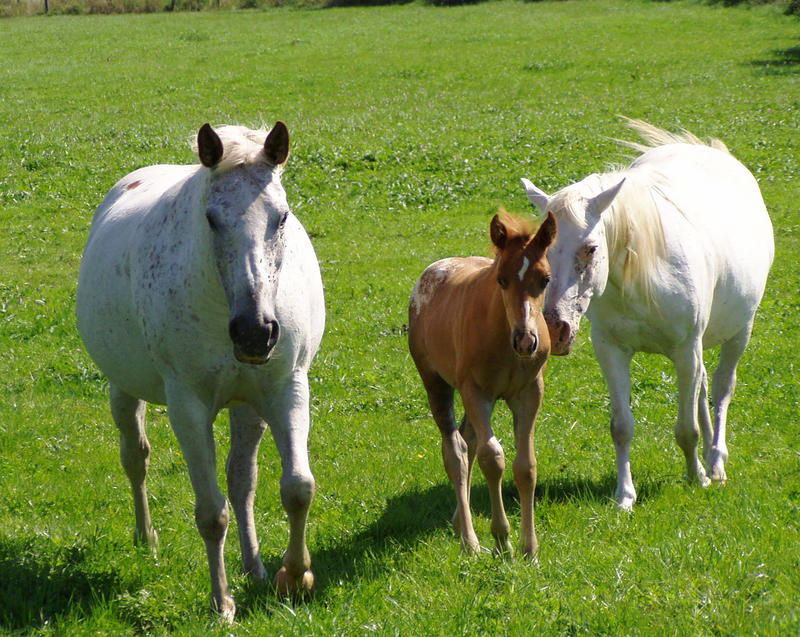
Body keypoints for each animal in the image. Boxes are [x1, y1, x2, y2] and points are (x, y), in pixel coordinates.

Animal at [76, 120, 324, 620]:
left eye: (282, 217)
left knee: (242, 480)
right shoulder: (188, 408)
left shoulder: (287, 389)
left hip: (248, 405)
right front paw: (221, 601)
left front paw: (294, 577)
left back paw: (254, 566)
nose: (255, 332)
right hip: (122, 389)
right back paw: (146, 540)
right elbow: (211, 512)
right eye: (211, 219)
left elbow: (296, 488)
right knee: (136, 459)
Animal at [406, 210, 556, 556]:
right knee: (456, 450)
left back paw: (459, 522)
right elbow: (493, 458)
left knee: (468, 438)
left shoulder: (529, 393)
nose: (526, 341)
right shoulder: (476, 392)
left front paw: (530, 549)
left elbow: (525, 466)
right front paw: (502, 540)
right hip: (437, 383)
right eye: (501, 279)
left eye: (545, 279)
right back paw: (469, 541)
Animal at [520, 117, 772, 510]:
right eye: (541, 250)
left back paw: (716, 463)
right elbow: (622, 427)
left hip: (739, 332)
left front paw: (697, 477)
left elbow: (687, 429)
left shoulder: (685, 350)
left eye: (590, 249)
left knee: (720, 389)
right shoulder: (611, 351)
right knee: (702, 387)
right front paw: (625, 495)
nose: (555, 329)